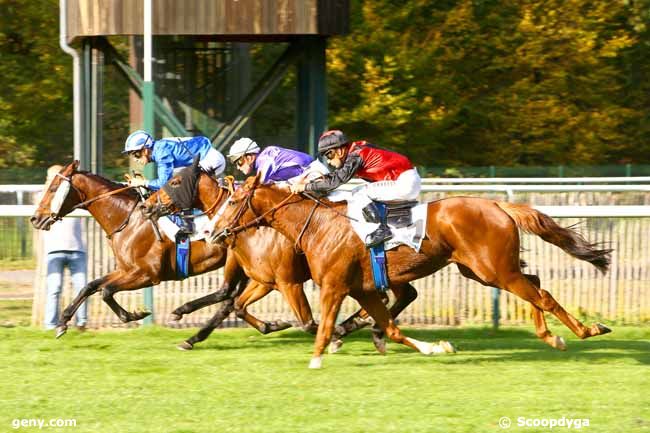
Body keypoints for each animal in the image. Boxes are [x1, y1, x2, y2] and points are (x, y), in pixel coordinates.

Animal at [210, 173, 612, 368]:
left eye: (233, 200)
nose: (214, 232)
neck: (320, 225)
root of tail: (498, 204)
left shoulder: (332, 286)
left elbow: (321, 325)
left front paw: (316, 358)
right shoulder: (363, 289)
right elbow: (390, 327)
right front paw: (437, 347)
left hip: (495, 270)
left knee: (541, 293)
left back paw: (586, 330)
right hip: (482, 270)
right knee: (536, 284)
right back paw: (552, 336)